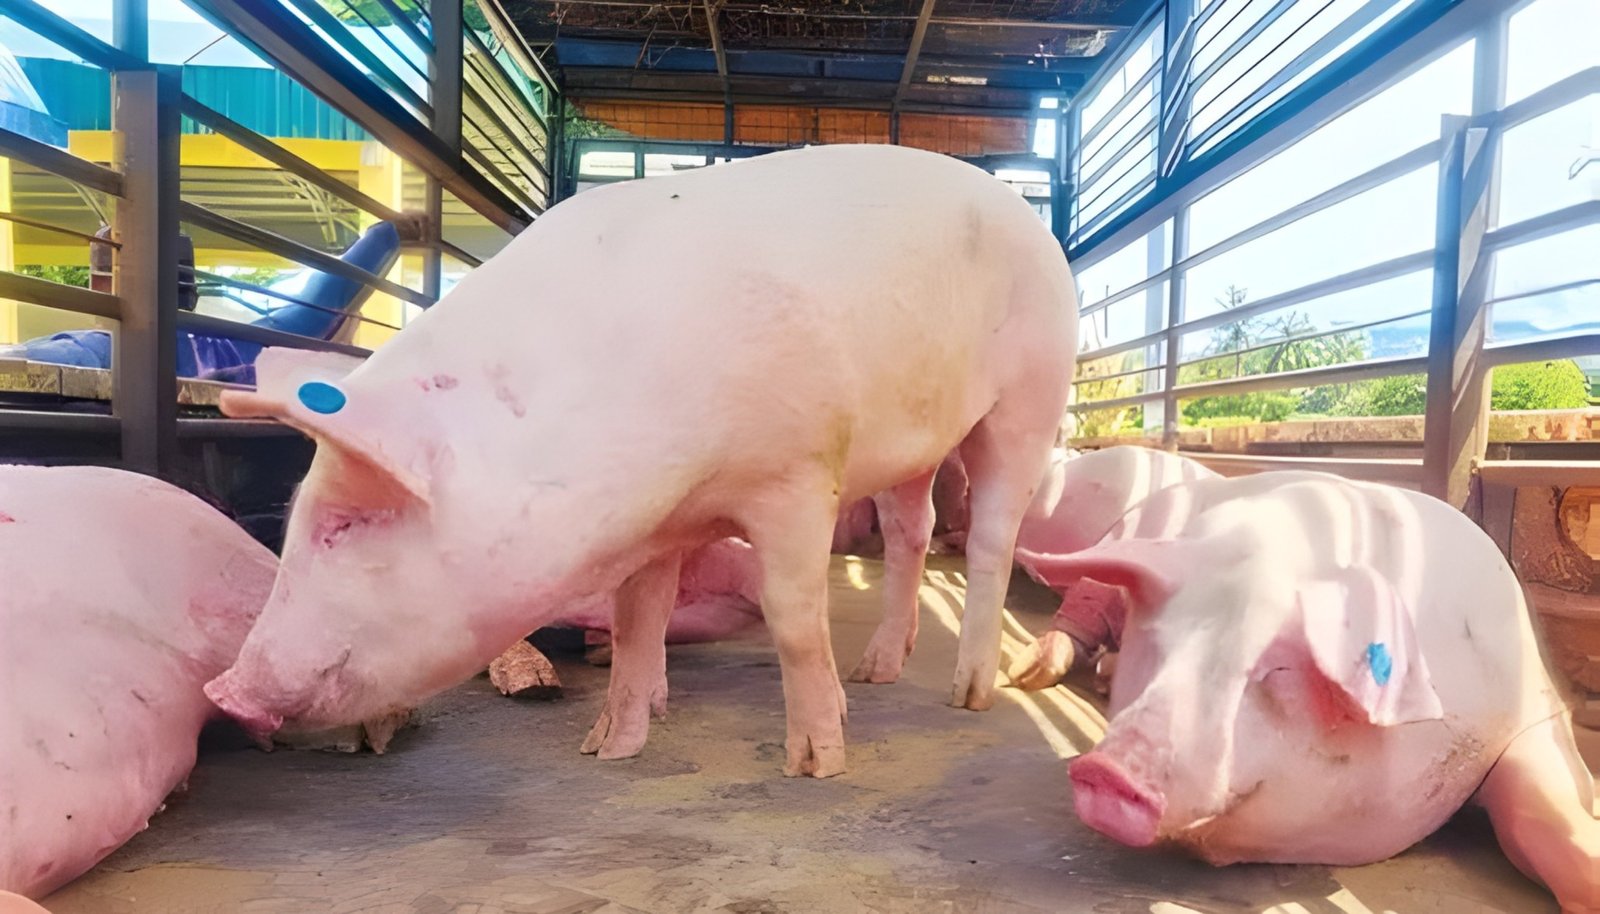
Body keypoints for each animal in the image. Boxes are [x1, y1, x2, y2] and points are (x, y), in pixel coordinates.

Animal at [205, 143, 1078, 778]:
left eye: (346, 524)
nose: (227, 693)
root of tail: (1025, 211)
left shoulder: (797, 472)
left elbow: (794, 618)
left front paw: (816, 765)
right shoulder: (657, 524)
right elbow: (635, 623)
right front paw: (607, 748)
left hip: (1030, 394)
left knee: (992, 534)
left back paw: (969, 695)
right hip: (914, 443)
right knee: (912, 528)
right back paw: (878, 671)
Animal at [1038, 470, 1597, 912]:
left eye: (1278, 668)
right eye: (1156, 639)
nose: (1107, 768)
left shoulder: (1533, 706)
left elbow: (1544, 806)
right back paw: (1035, 671)